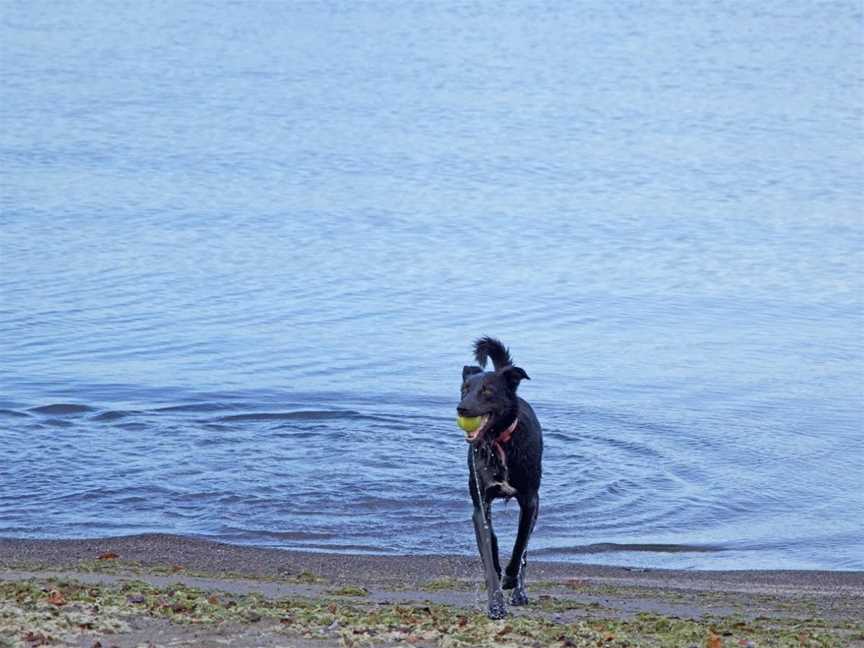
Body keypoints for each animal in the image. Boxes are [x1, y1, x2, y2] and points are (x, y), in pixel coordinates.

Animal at [456, 336, 544, 620]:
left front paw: (510, 580)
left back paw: (518, 591)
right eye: (464, 389)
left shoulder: (530, 502)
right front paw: (495, 604)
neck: (498, 443)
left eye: (486, 390)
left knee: (524, 552)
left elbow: (519, 548)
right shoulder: (480, 507)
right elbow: (489, 553)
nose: (461, 407)